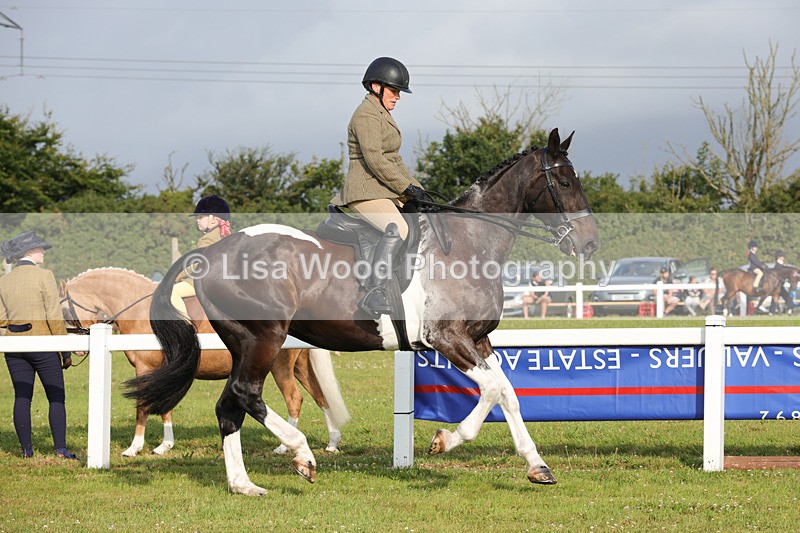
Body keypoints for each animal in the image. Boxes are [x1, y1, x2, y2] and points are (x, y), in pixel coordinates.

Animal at [59, 267, 349, 456]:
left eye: (64, 311)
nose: (75, 352)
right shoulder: (167, 371)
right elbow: (165, 406)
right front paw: (165, 445)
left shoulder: (146, 368)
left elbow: (143, 405)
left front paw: (134, 447)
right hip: (299, 365)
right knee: (320, 396)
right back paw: (332, 442)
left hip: (280, 367)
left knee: (294, 399)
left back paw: (283, 446)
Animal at [128, 128, 600, 495]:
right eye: (565, 182)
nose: (589, 243)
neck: (469, 242)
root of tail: (211, 255)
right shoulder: (447, 338)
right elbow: (493, 390)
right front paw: (445, 440)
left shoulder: (478, 339)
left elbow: (507, 394)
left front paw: (536, 466)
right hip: (264, 338)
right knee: (247, 394)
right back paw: (301, 454)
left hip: (243, 343)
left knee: (230, 406)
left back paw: (244, 484)